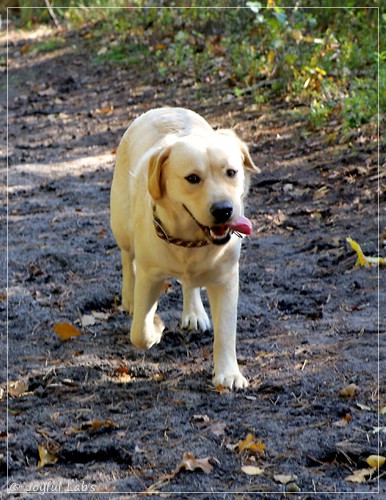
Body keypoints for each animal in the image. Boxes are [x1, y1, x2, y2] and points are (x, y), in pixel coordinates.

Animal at [110, 108, 260, 390]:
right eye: (192, 178)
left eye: (231, 172)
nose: (223, 209)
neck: (191, 239)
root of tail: (162, 109)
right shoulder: (150, 275)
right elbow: (139, 332)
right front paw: (155, 328)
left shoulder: (226, 279)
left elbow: (226, 330)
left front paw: (228, 373)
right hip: (121, 223)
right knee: (127, 257)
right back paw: (128, 297)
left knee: (190, 284)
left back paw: (194, 311)